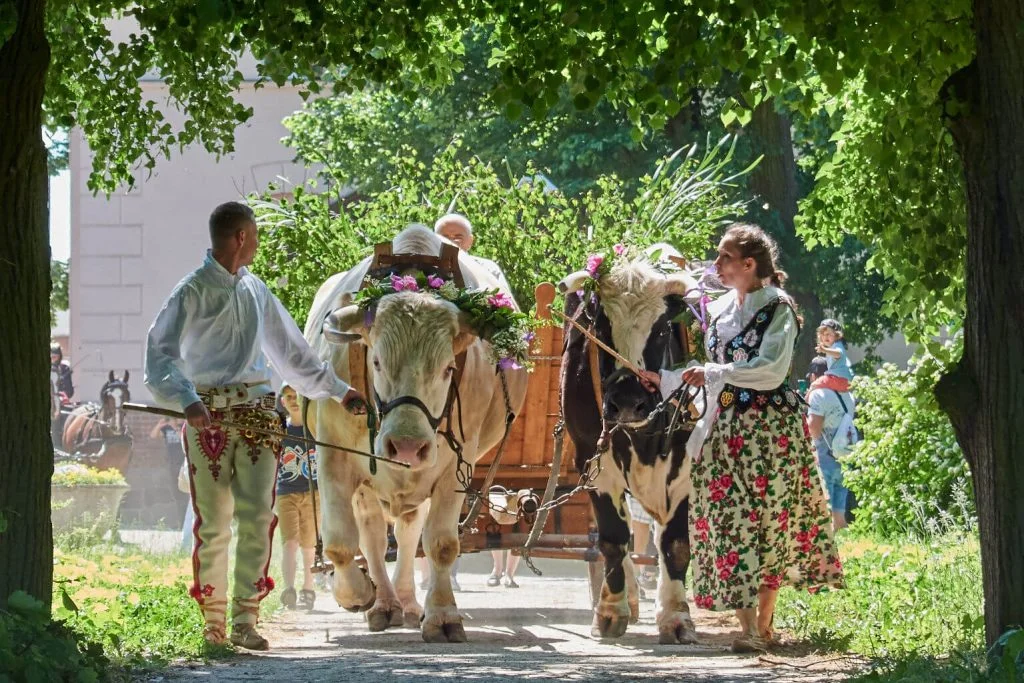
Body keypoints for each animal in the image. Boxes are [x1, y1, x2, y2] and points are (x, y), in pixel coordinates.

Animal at [561, 248, 704, 643]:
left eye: (662, 328)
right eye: (601, 326)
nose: (626, 402)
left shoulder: (685, 465)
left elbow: (675, 544)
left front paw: (676, 617)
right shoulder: (591, 459)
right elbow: (613, 538)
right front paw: (610, 612)